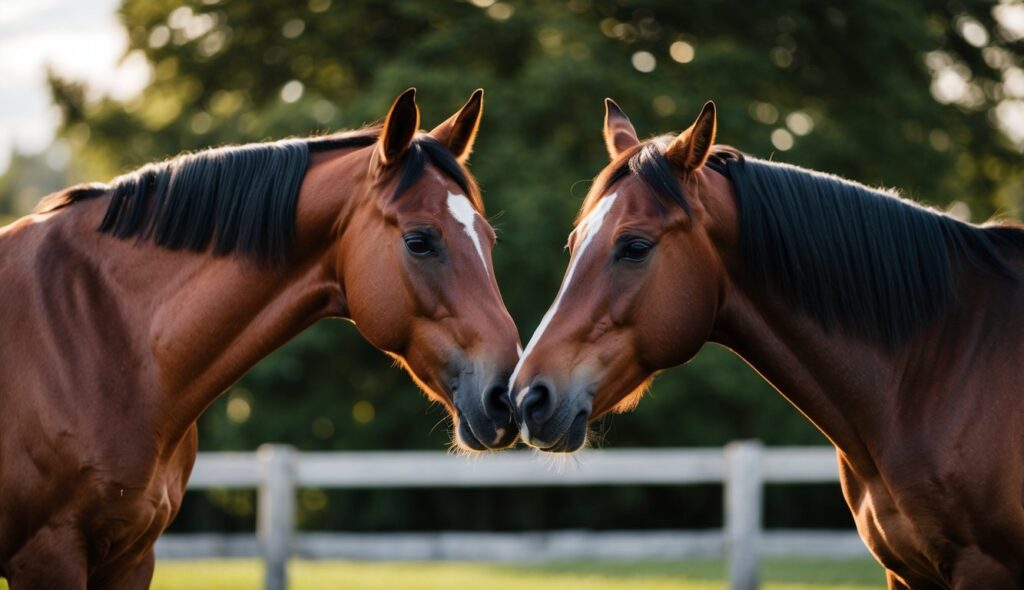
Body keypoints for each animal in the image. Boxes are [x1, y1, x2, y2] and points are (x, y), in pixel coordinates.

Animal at [2, 90, 520, 585]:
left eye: (490, 239)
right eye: (418, 241)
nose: (505, 395)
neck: (103, 336)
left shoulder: (132, 558)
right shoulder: (49, 556)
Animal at [516, 97, 1024, 585]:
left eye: (635, 247)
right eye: (573, 244)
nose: (527, 398)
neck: (932, 372)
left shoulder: (982, 570)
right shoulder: (905, 574)